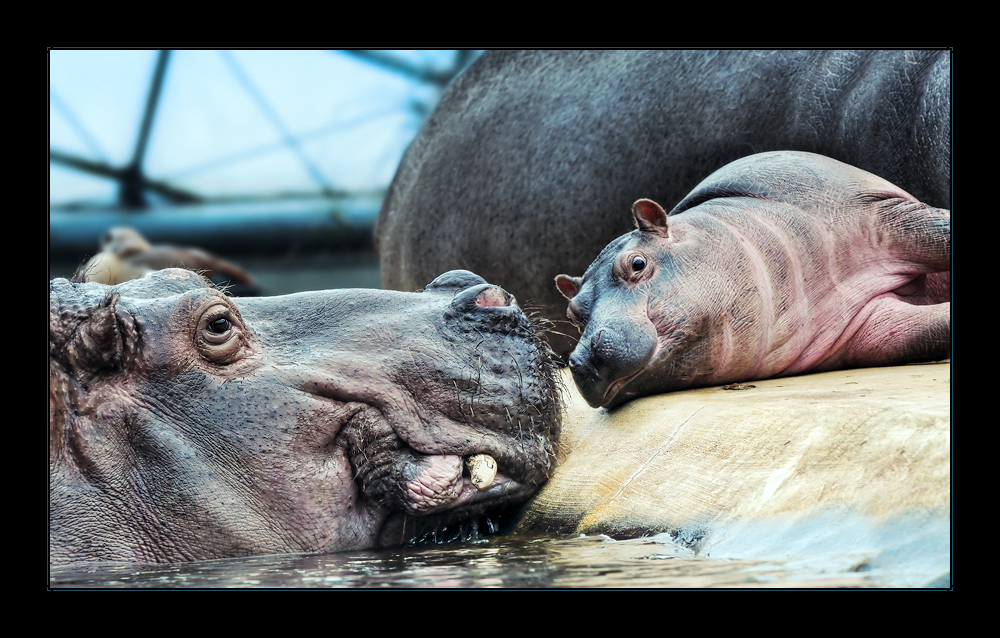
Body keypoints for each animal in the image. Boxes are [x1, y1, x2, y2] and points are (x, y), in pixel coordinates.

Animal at [556, 152, 952, 408]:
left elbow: (939, 232)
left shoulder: (879, 213)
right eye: (573, 314)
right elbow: (925, 332)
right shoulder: (864, 331)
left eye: (637, 263)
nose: (582, 358)